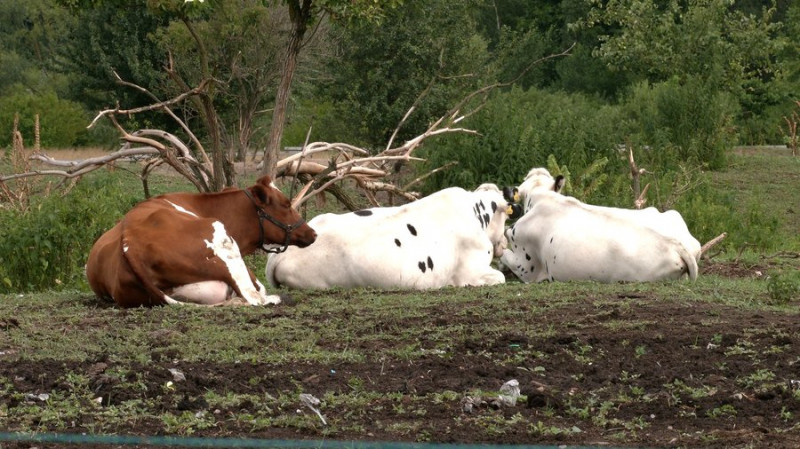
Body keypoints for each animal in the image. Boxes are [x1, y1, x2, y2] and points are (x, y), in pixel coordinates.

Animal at [85, 175, 316, 308]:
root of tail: (128, 242)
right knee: (255, 298)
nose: (312, 233)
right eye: (286, 204)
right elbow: (259, 288)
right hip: (222, 241)